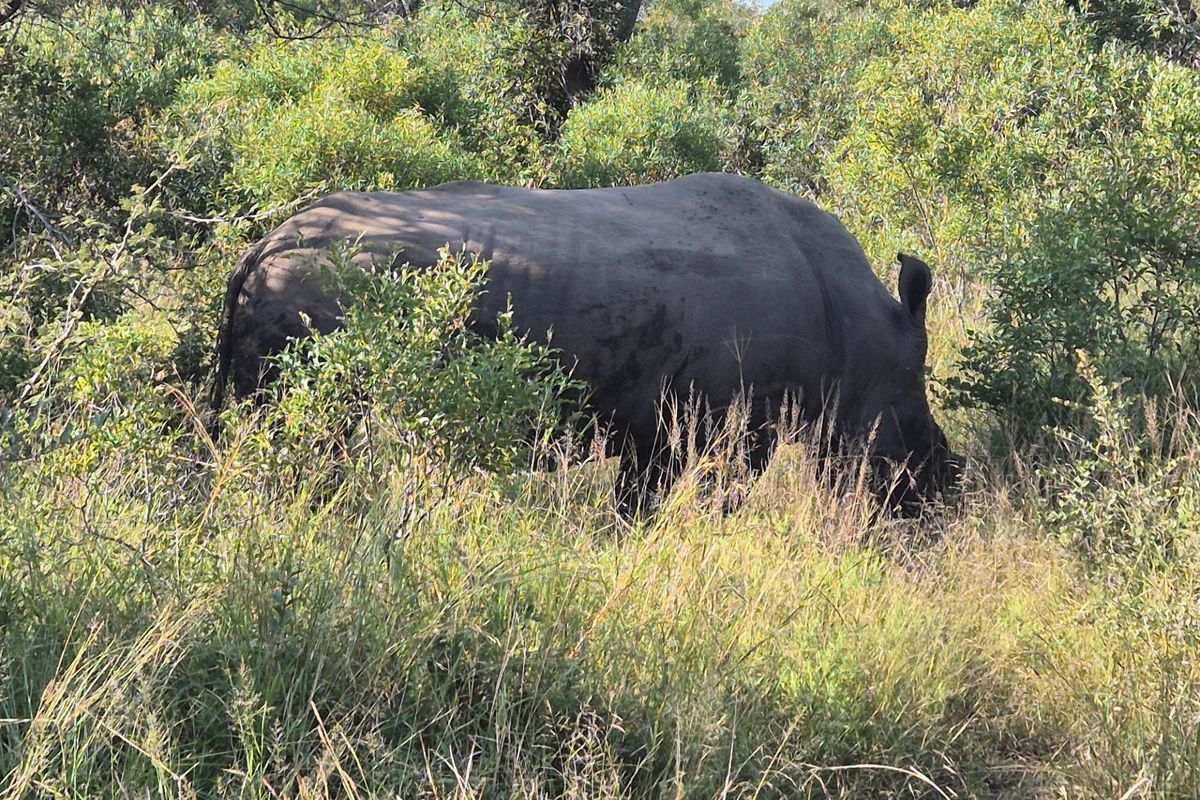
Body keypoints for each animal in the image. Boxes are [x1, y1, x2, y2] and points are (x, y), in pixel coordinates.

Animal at [212, 172, 959, 514]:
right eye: (916, 436)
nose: (943, 500)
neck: (861, 329)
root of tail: (261, 246)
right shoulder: (727, 422)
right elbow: (679, 504)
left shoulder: (671, 424)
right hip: (315, 289)